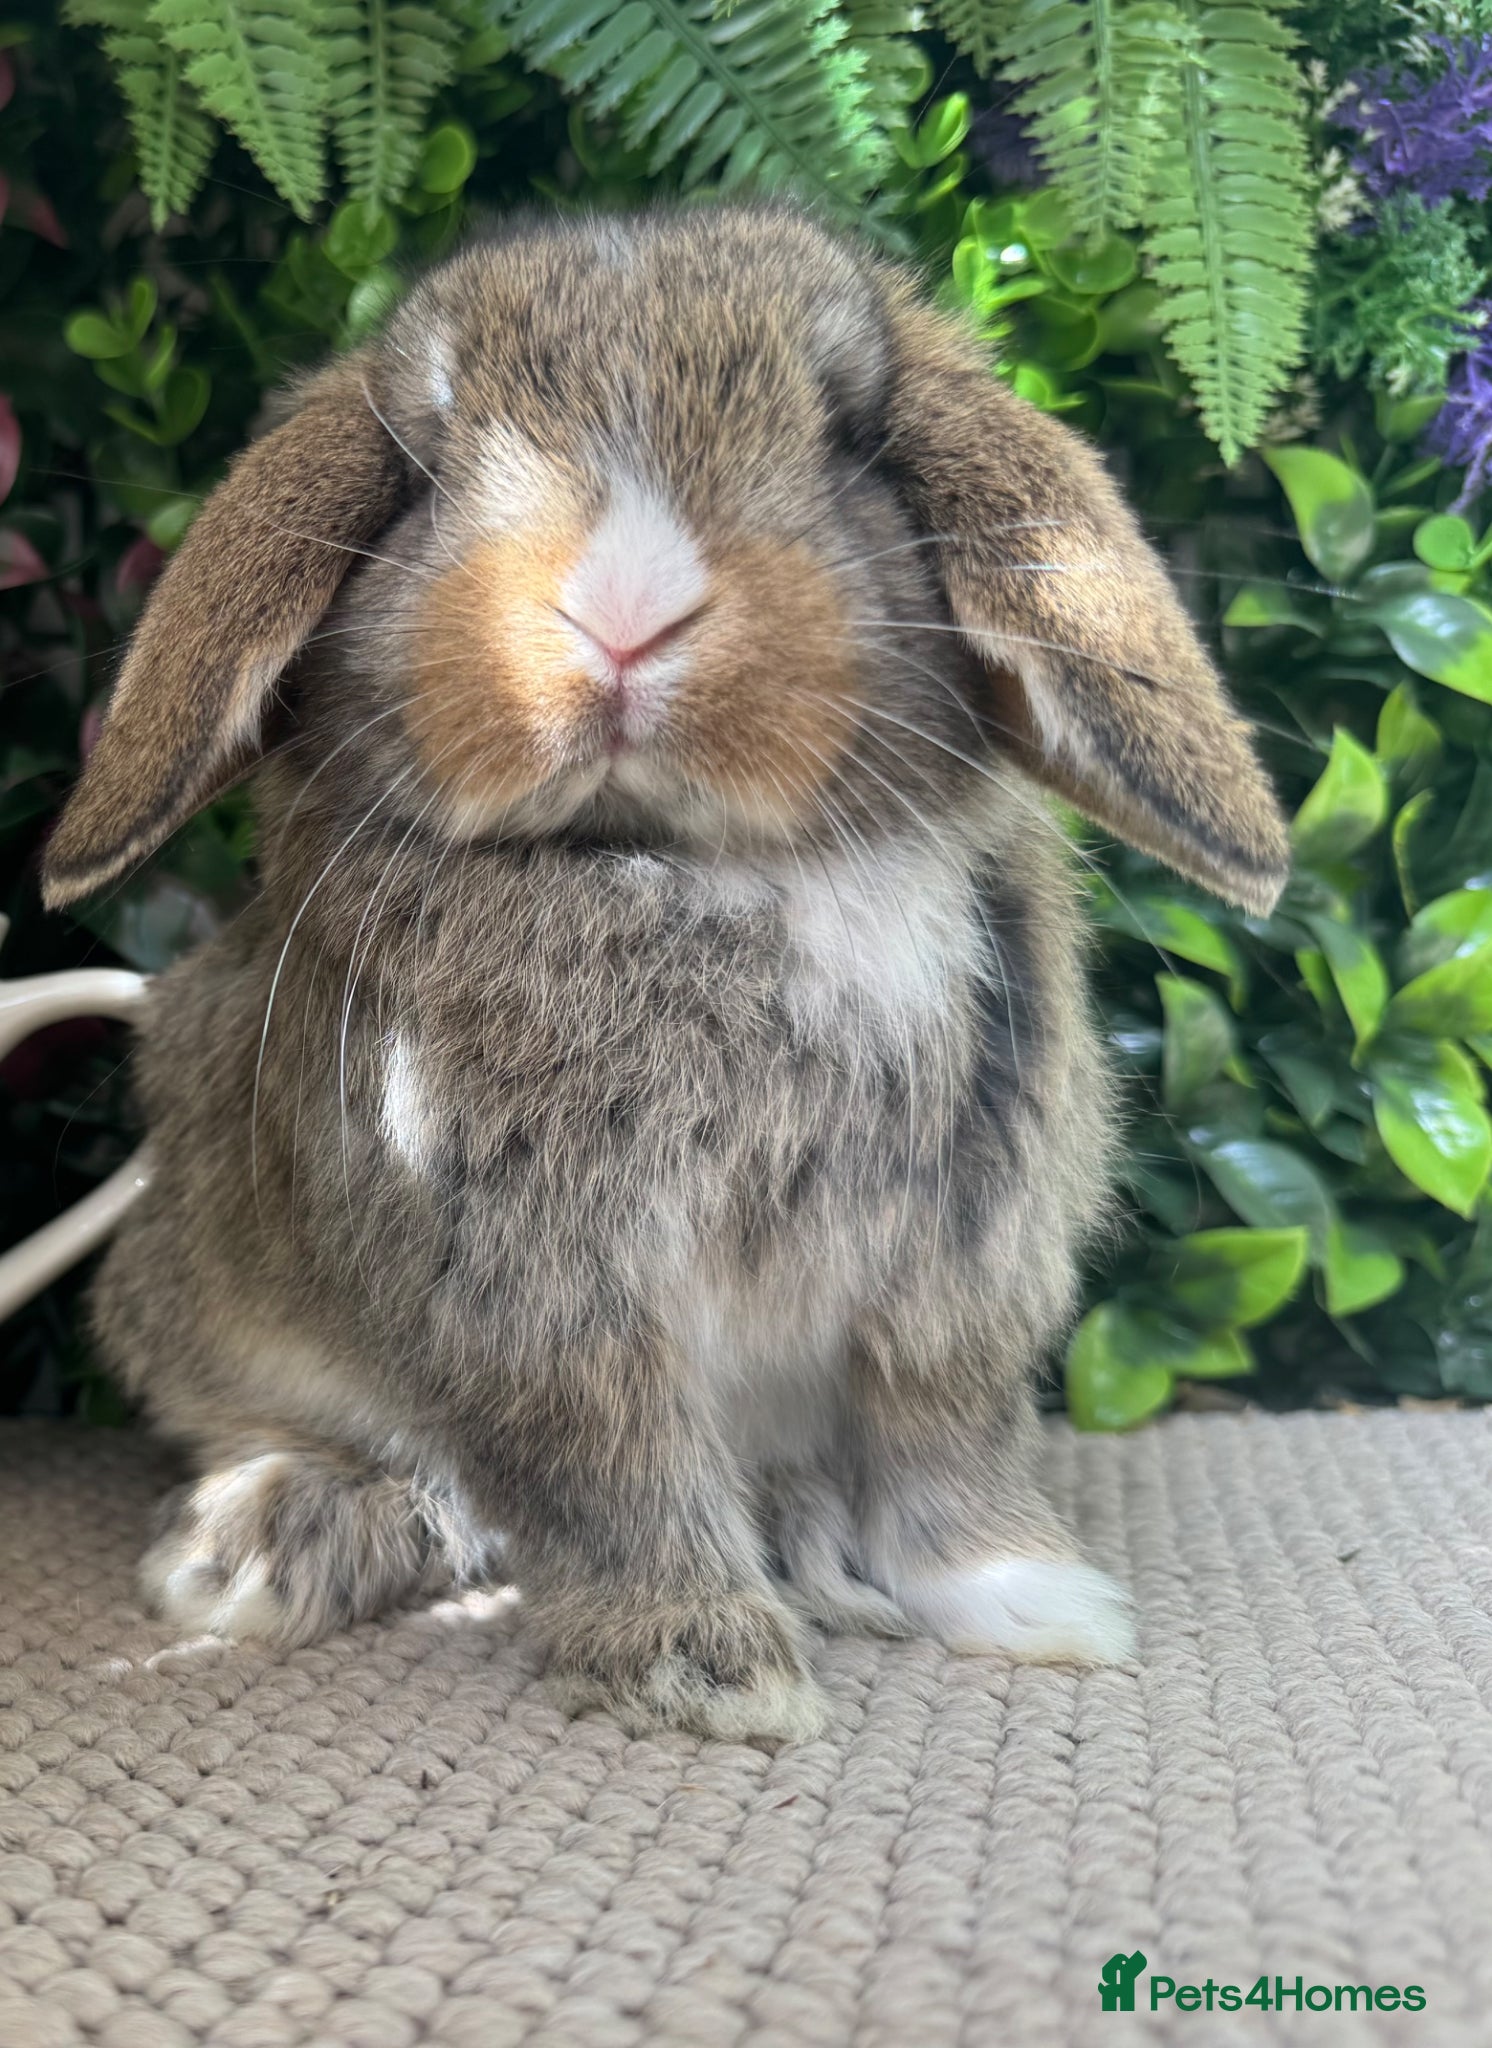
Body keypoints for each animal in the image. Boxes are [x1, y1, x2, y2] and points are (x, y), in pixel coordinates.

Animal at [41, 205, 1289, 1741]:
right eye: (425, 462)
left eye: (847, 433)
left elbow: (939, 1439)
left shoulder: (956, 1267)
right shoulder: (542, 1295)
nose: (623, 613)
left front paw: (1034, 1605)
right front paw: (707, 1667)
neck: (682, 864)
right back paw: (259, 1551)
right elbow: (612, 1465)